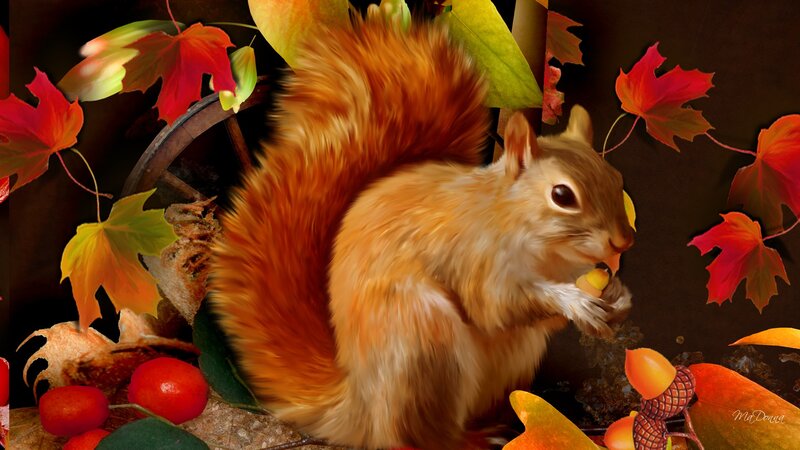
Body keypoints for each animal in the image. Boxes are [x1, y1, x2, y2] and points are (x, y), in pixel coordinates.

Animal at [210, 19, 634, 450]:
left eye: (617, 179)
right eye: (562, 195)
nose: (624, 241)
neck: (543, 249)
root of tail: (360, 407)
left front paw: (617, 298)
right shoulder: (473, 253)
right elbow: (495, 306)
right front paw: (572, 301)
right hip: (423, 343)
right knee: (416, 436)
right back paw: (468, 440)